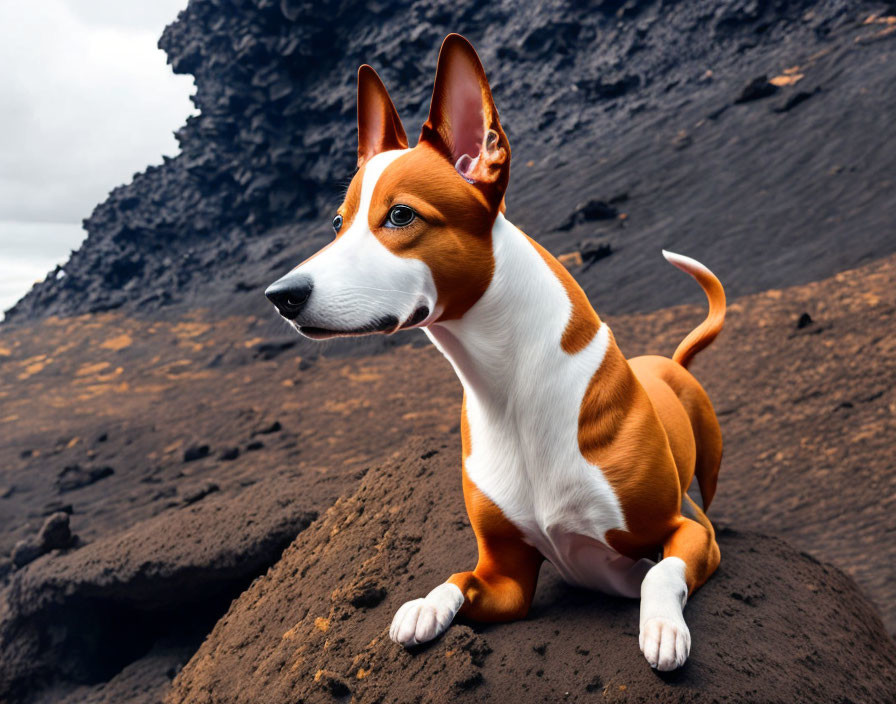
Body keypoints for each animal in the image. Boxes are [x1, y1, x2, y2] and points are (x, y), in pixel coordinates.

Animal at [268, 34, 728, 672]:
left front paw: (662, 627)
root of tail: (668, 362)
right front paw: (423, 608)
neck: (510, 393)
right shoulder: (505, 577)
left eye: (401, 215)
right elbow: (457, 580)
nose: (280, 296)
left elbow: (661, 570)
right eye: (338, 223)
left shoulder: (688, 529)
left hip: (709, 464)